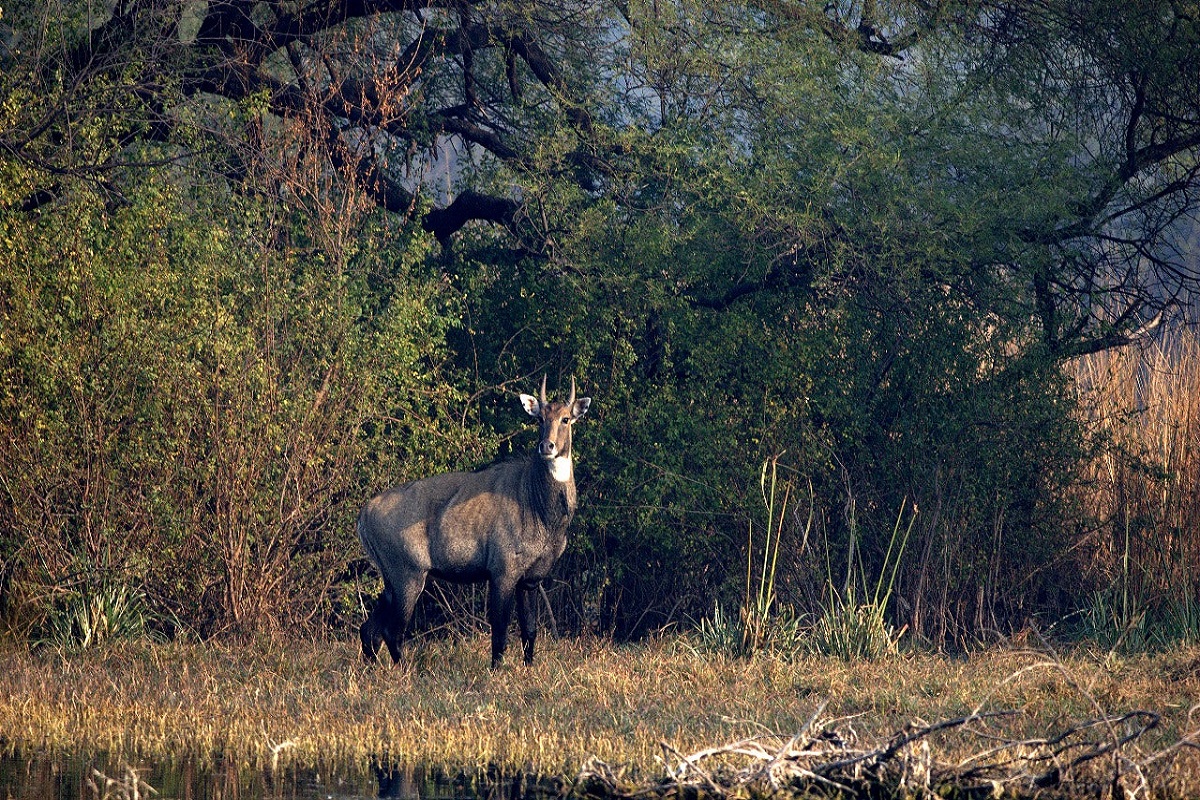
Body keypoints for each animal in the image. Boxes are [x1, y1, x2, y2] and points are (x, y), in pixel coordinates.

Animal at [360, 379, 595, 666]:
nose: (546, 446)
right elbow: (500, 632)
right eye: (540, 418)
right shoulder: (502, 572)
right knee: (390, 631)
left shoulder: (531, 578)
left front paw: (528, 669)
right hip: (407, 576)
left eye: (565, 418)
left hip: (391, 581)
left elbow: (529, 630)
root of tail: (364, 514)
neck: (537, 504)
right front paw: (496, 670)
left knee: (369, 630)